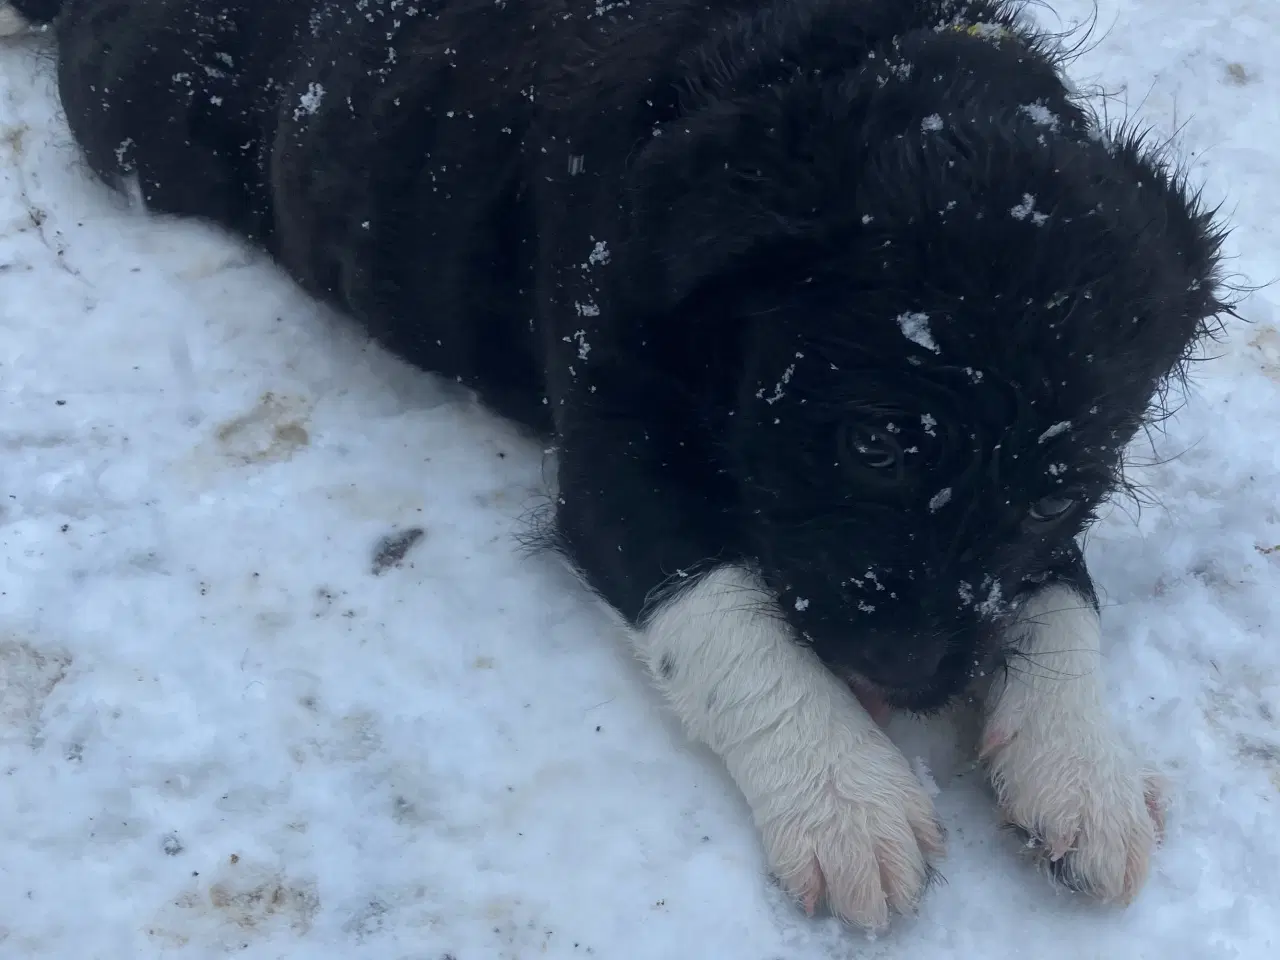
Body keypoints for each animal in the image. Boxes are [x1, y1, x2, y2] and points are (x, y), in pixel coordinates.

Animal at [0, 0, 1228, 931]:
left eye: (1061, 487)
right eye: (871, 442)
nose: (915, 682)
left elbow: (1060, 593)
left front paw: (1086, 775)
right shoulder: (616, 463)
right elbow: (722, 615)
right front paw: (846, 804)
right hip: (139, 121)